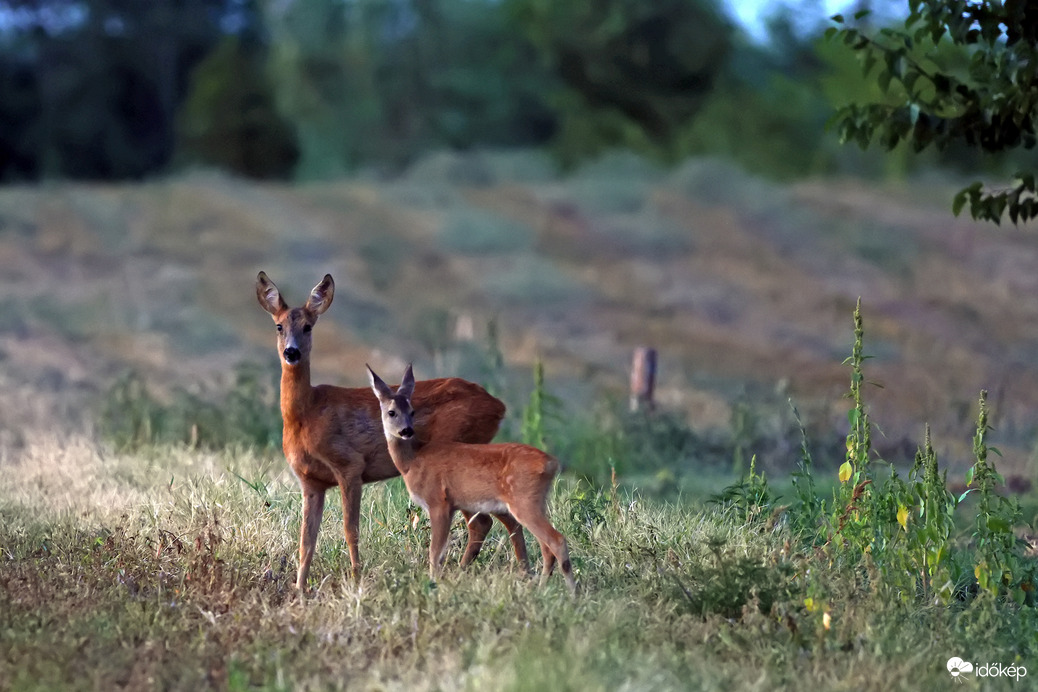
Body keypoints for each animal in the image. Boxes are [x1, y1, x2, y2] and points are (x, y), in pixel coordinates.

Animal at [252, 269, 527, 589]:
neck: (306, 415)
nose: (292, 352)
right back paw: (521, 570)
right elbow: (306, 540)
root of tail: (498, 406)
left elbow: (350, 529)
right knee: (501, 517)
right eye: (279, 326)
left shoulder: (350, 465)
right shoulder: (310, 481)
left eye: (308, 327)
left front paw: (356, 578)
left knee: (484, 521)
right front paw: (300, 589)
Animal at [367, 365, 577, 593]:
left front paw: (433, 583)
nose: (406, 430)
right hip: (537, 502)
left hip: (524, 501)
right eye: (392, 412)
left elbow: (435, 552)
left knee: (556, 540)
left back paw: (572, 592)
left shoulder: (439, 501)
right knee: (546, 546)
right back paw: (542, 587)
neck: (412, 461)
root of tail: (551, 463)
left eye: (412, 411)